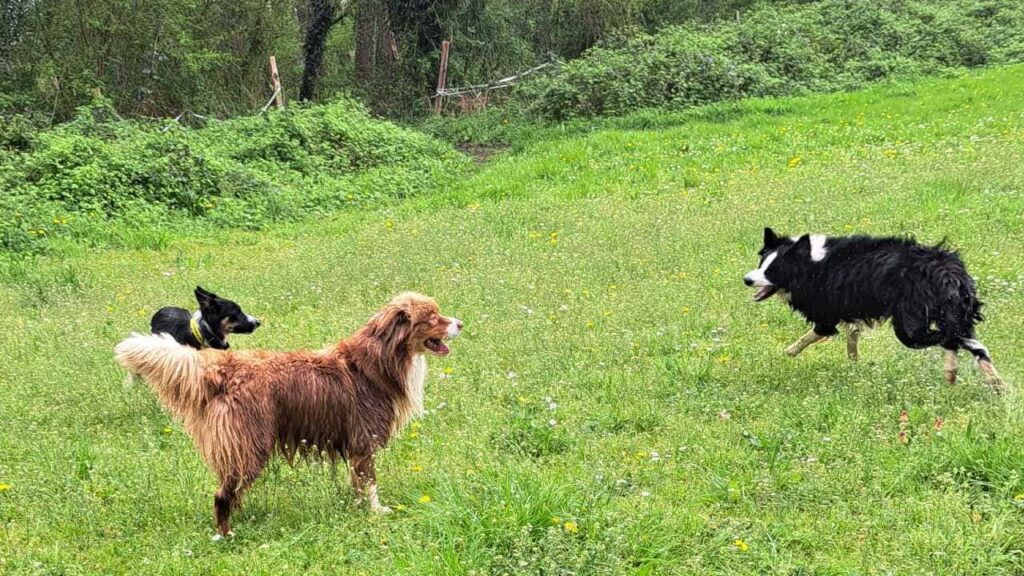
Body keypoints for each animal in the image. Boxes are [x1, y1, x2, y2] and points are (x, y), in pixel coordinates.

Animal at [115, 291, 460, 532]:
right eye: (432, 317)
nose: (461, 323)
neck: (382, 358)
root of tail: (223, 367)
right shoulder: (364, 441)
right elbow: (371, 482)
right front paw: (376, 513)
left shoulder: (355, 445)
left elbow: (358, 484)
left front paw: (361, 508)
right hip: (250, 447)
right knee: (221, 495)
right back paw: (226, 535)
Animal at [745, 226, 999, 387]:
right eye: (761, 263)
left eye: (772, 271)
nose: (746, 279)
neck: (810, 261)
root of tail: (946, 270)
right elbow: (852, 338)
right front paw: (854, 365)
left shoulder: (825, 313)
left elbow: (813, 335)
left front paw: (788, 352)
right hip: (955, 314)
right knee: (967, 345)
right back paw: (990, 382)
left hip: (910, 328)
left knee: (955, 340)